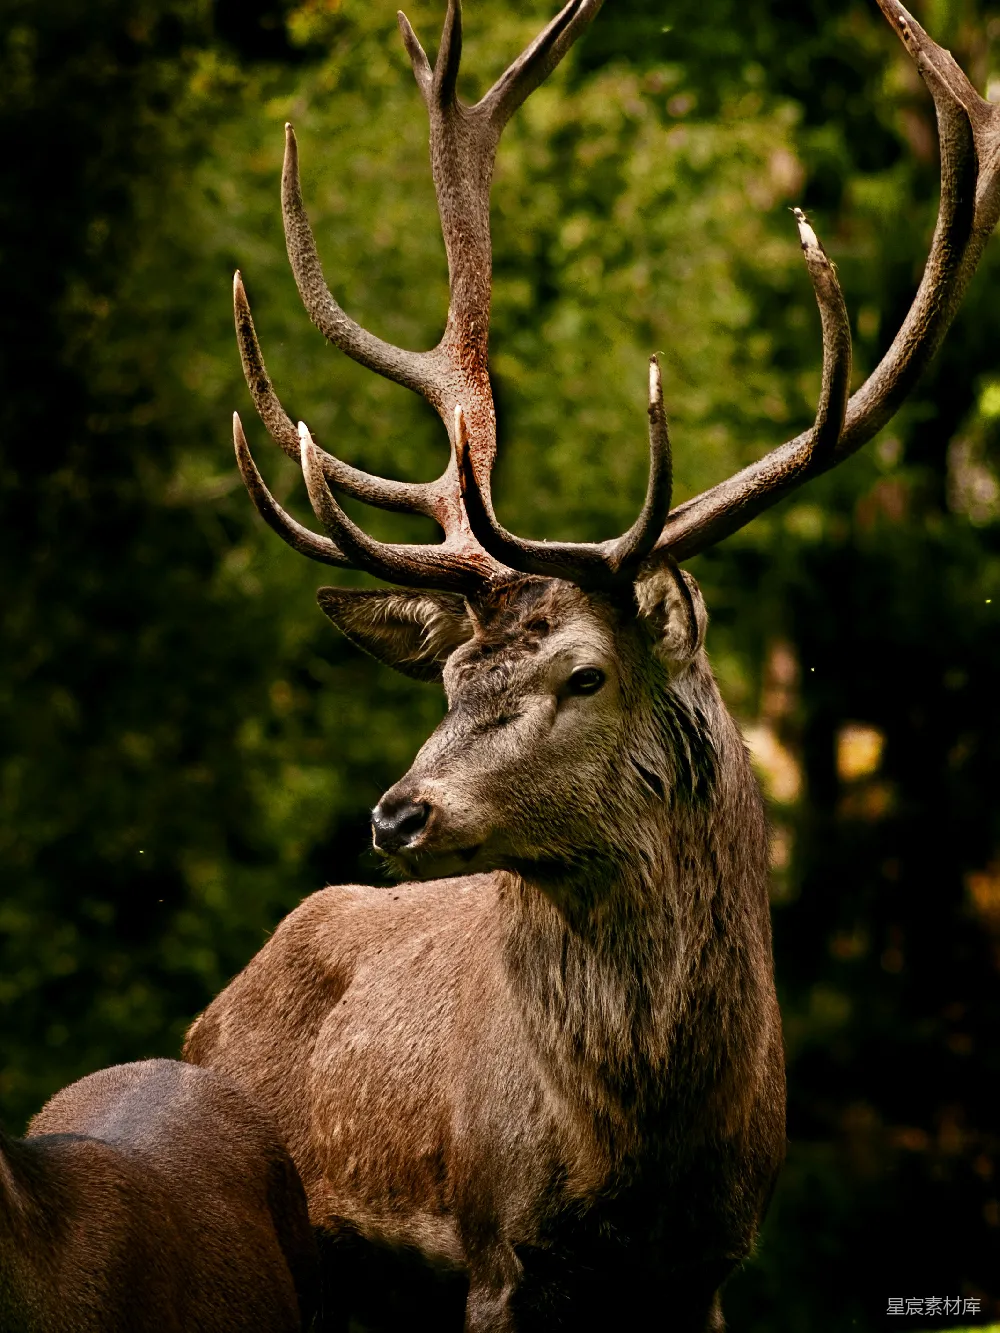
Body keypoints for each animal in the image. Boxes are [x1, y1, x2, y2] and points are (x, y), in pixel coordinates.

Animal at [183, 0, 1000, 1328]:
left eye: (582, 674)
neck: (644, 1166)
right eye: (450, 681)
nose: (398, 813)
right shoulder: (492, 1253)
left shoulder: (711, 1267)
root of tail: (213, 1014)